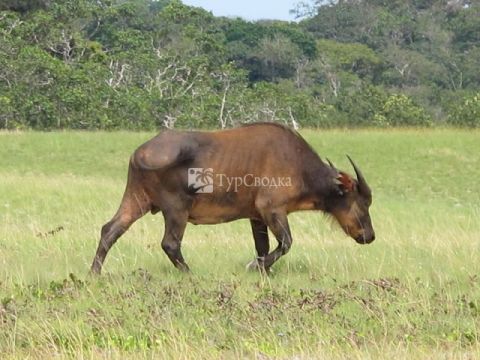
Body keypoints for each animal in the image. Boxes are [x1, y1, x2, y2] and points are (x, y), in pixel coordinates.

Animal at [91, 122, 376, 274]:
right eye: (361, 202)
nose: (369, 236)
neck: (298, 165)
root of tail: (140, 153)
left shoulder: (256, 217)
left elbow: (263, 247)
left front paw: (263, 270)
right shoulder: (272, 209)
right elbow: (285, 243)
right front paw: (254, 267)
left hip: (136, 200)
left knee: (110, 230)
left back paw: (95, 273)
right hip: (176, 210)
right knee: (170, 243)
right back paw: (190, 274)